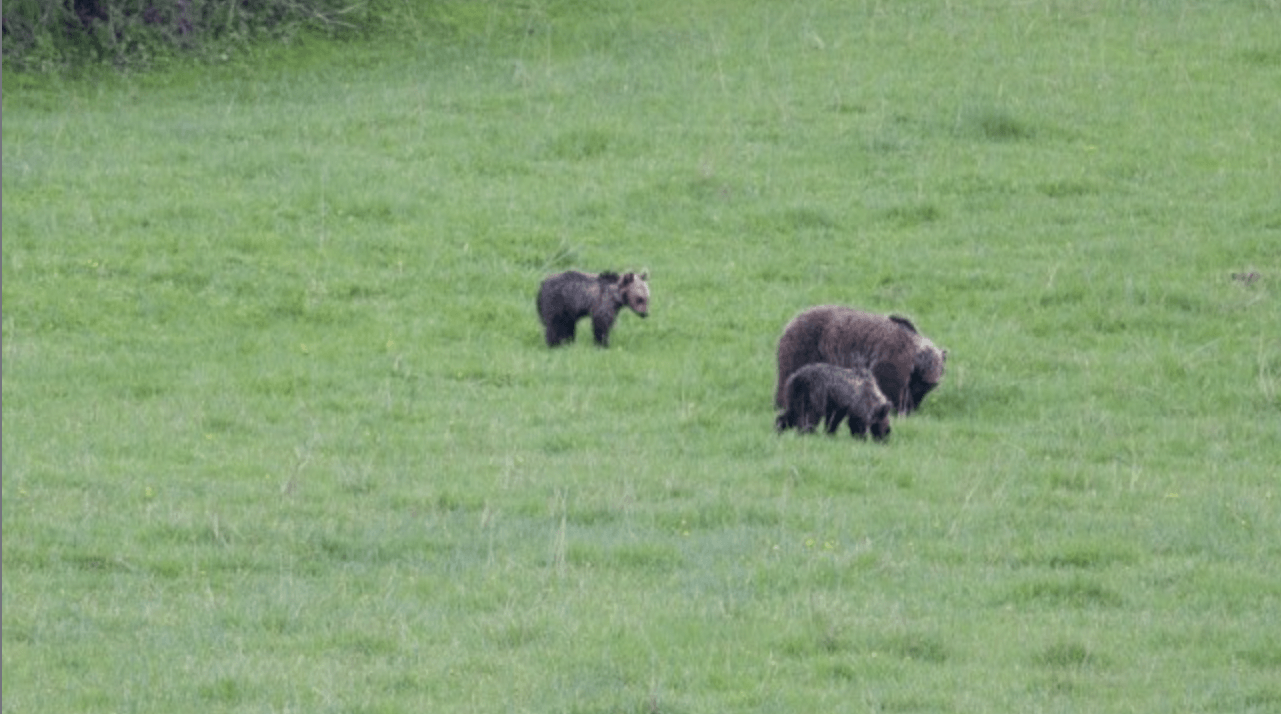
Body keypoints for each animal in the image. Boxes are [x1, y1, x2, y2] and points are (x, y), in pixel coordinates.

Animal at [775, 306, 945, 416]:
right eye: (923, 385)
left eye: (928, 387)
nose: (913, 407)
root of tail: (790, 323)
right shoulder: (892, 360)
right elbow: (890, 387)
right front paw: (897, 408)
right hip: (804, 349)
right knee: (788, 376)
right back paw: (784, 402)